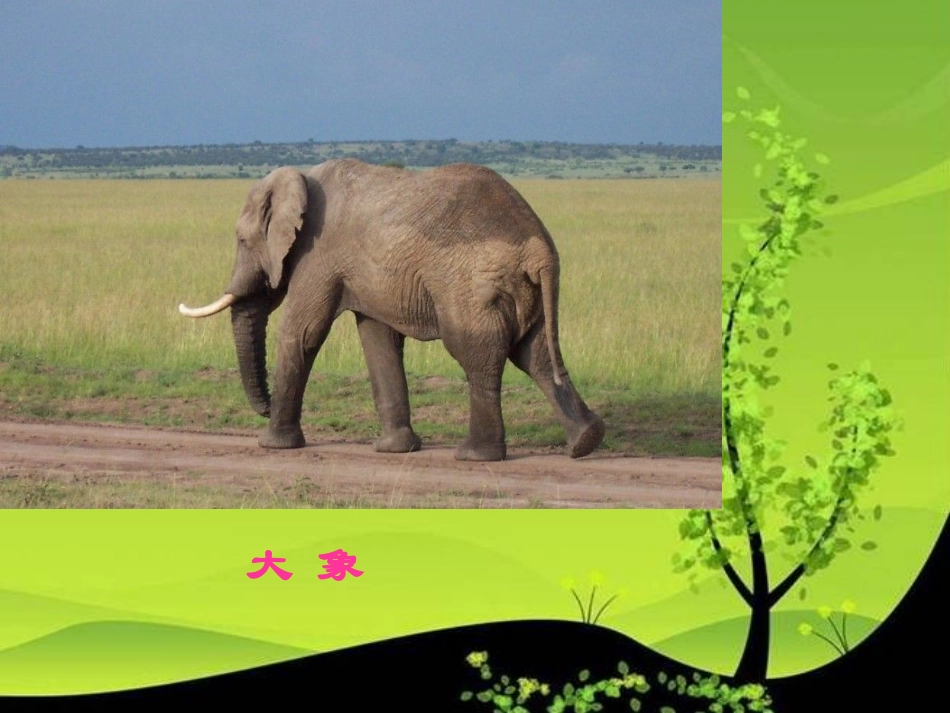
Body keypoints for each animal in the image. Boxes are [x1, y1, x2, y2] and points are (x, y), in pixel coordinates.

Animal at [179, 159, 605, 461]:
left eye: (241, 240)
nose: (264, 408)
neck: (302, 176)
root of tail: (537, 249)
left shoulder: (320, 254)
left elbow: (302, 331)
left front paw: (272, 445)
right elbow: (378, 341)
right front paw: (394, 450)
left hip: (471, 286)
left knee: (477, 356)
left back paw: (475, 456)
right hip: (527, 289)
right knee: (538, 356)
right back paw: (585, 442)